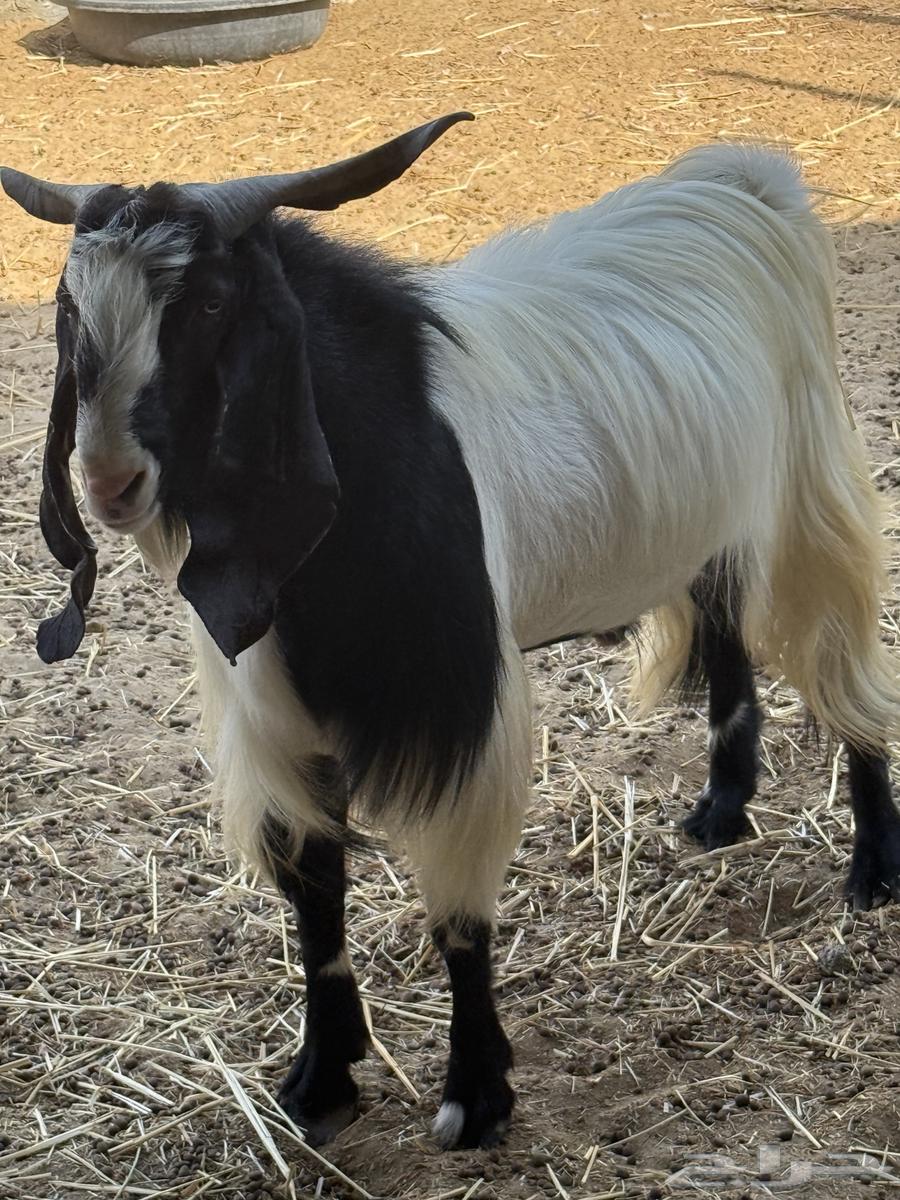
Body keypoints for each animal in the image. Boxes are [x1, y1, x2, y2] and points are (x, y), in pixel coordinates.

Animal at [3, 113, 899, 1150]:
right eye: (71, 310)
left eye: (213, 303)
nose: (110, 481)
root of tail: (743, 181)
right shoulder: (275, 716)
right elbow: (314, 894)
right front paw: (323, 1077)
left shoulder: (463, 711)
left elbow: (459, 918)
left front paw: (475, 1092)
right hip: (709, 518)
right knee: (722, 628)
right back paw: (721, 809)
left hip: (810, 496)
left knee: (845, 666)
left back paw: (874, 867)